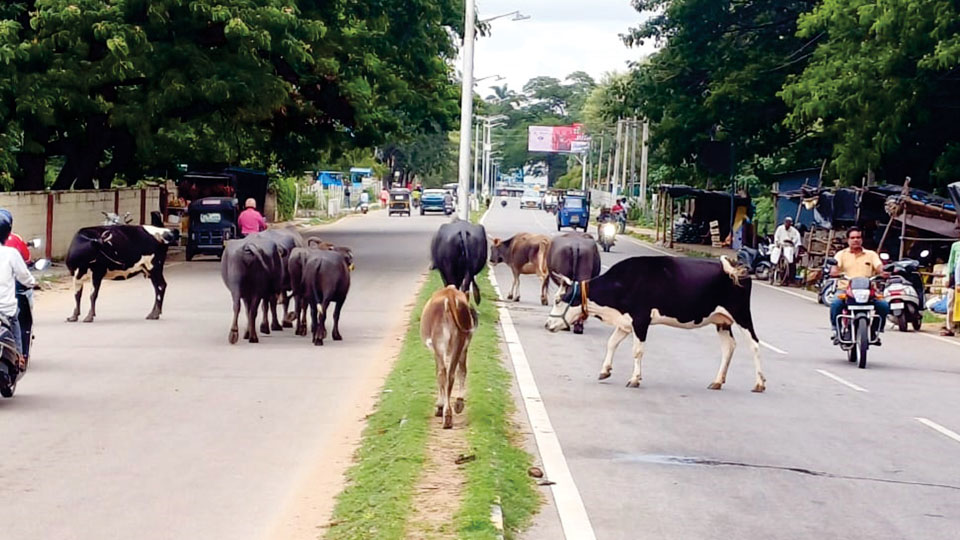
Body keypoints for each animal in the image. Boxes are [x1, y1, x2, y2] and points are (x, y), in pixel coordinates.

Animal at [422, 284, 478, 428]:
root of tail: (450, 295)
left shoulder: (436, 352)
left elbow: (437, 373)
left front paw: (439, 405)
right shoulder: (464, 347)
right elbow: (462, 370)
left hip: (439, 343)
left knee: (442, 373)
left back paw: (445, 412)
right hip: (460, 341)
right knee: (454, 373)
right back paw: (455, 408)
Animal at [548, 256, 764, 392]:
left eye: (558, 300)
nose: (547, 325)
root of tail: (736, 266)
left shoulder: (641, 319)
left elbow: (637, 351)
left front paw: (634, 379)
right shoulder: (626, 321)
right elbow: (611, 343)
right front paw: (605, 371)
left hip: (741, 314)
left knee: (754, 344)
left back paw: (759, 383)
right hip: (722, 320)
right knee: (729, 346)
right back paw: (717, 381)